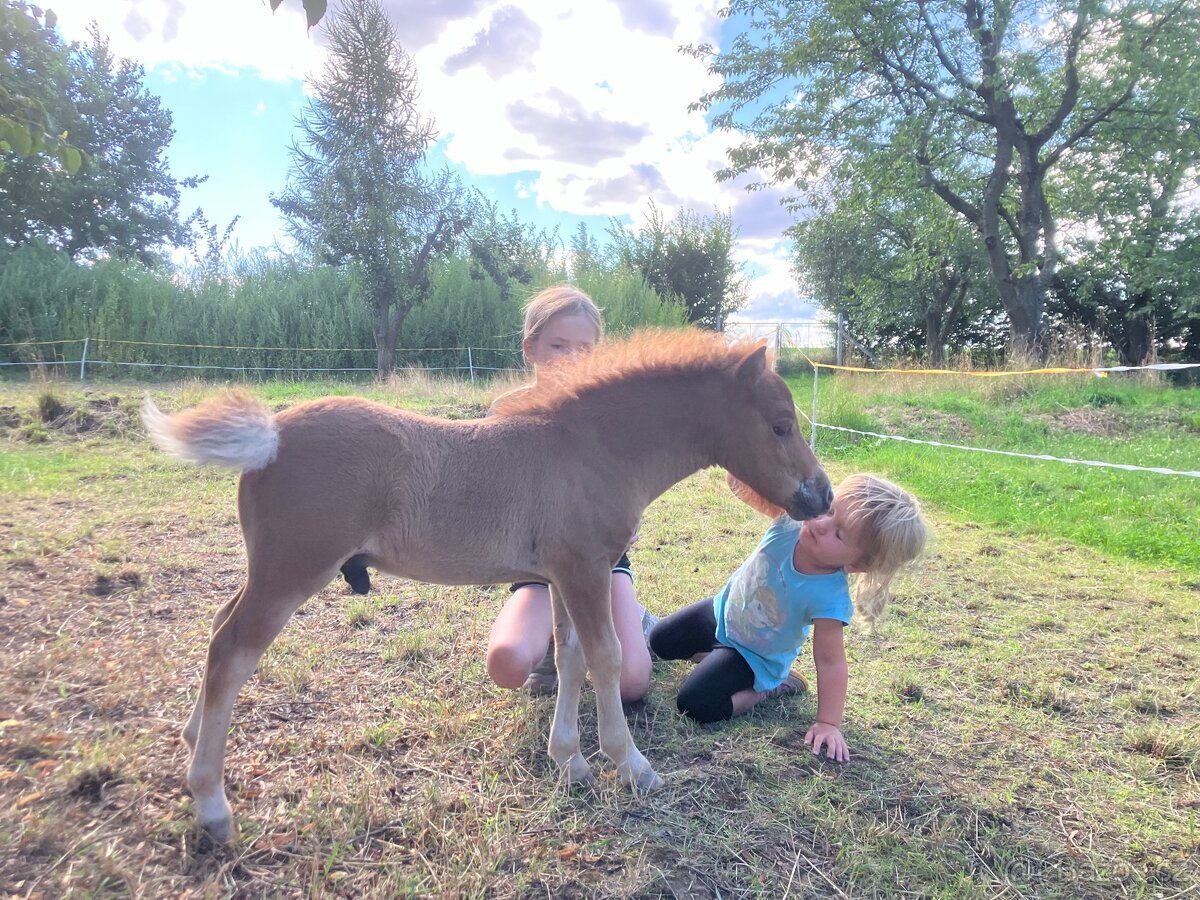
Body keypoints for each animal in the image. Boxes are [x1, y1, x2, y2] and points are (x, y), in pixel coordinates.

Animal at [142, 329, 832, 842]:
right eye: (780, 424)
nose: (821, 495)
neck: (591, 449)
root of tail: (271, 436)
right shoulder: (584, 568)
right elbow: (606, 660)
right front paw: (632, 766)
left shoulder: (563, 575)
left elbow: (570, 657)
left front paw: (570, 761)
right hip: (291, 571)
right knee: (232, 650)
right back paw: (211, 804)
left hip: (270, 570)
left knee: (218, 629)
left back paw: (190, 743)